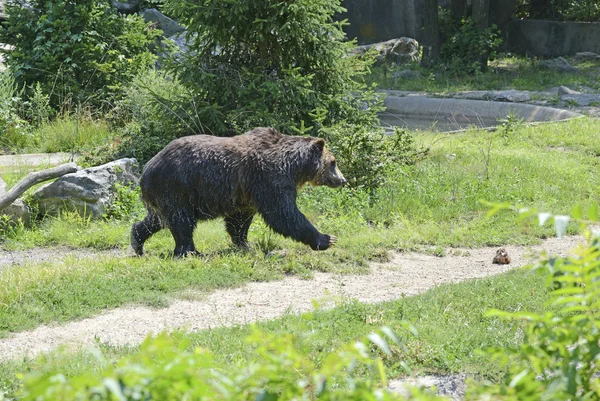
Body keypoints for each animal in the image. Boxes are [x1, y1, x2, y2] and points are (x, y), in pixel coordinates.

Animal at [131, 126, 346, 255]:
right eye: (333, 162)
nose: (342, 180)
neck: (295, 167)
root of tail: (147, 168)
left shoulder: (245, 193)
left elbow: (240, 220)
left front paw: (244, 243)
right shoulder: (269, 178)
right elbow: (284, 213)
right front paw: (327, 238)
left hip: (164, 195)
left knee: (156, 220)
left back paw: (138, 243)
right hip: (177, 187)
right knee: (182, 222)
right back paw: (190, 251)